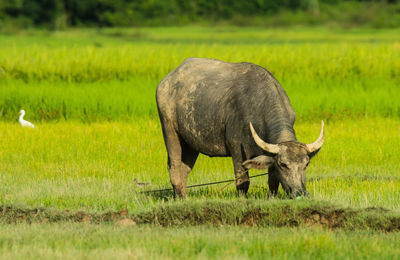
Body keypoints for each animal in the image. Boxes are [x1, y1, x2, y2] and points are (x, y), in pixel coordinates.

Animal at [155, 58, 324, 198]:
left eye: (306, 164)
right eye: (284, 164)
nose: (300, 193)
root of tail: (165, 82)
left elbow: (273, 182)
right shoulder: (237, 150)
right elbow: (243, 182)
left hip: (190, 143)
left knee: (185, 168)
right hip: (169, 130)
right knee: (174, 166)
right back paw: (180, 197)